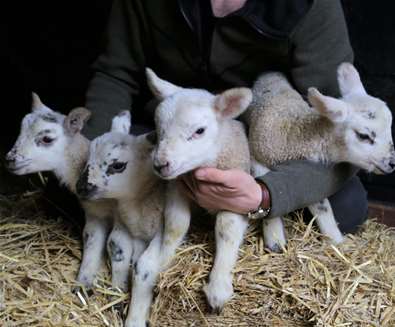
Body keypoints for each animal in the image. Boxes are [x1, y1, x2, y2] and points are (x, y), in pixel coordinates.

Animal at [146, 67, 254, 316]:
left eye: (199, 131)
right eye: (158, 129)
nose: (160, 165)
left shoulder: (235, 196)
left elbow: (226, 228)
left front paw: (218, 287)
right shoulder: (176, 187)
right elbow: (176, 224)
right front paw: (163, 261)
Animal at [244, 62, 395, 251]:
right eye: (364, 136)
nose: (392, 163)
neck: (292, 133)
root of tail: (269, 72)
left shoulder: (308, 172)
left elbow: (321, 206)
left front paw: (336, 241)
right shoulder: (257, 157)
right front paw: (275, 240)